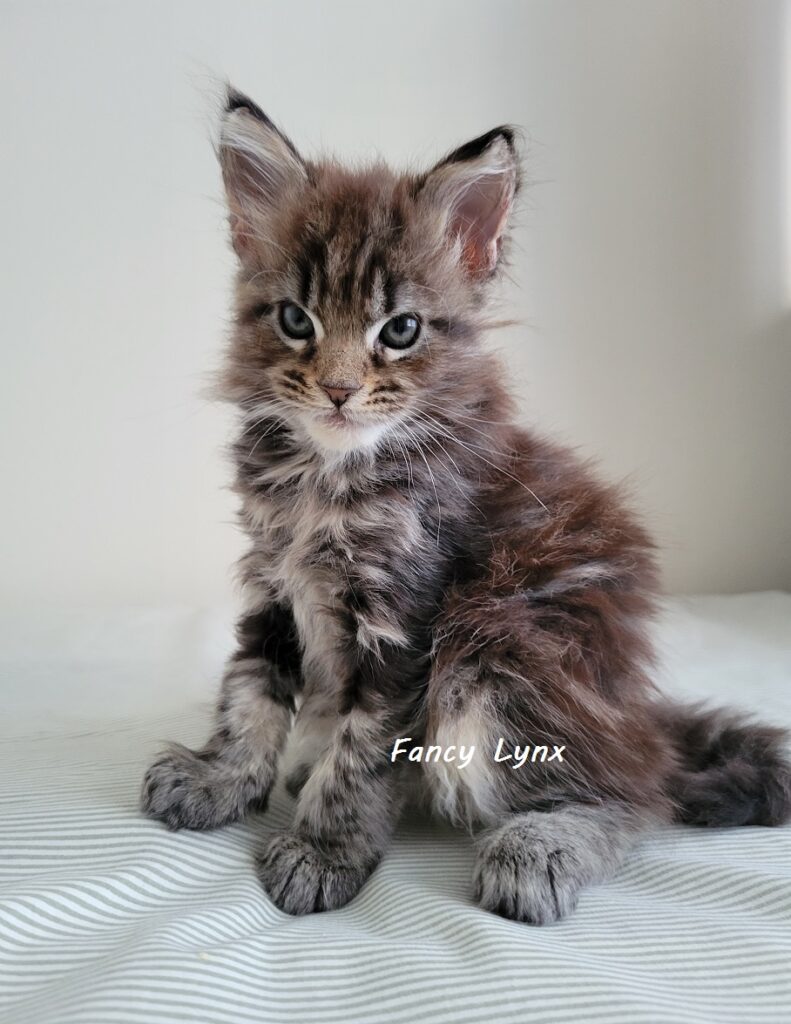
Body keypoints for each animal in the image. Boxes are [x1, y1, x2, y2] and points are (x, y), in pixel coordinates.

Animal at [141, 87, 791, 923]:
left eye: (400, 330)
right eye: (294, 320)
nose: (338, 389)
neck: (329, 478)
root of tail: (637, 714)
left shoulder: (408, 621)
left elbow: (362, 750)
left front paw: (324, 849)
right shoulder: (272, 581)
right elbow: (248, 691)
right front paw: (220, 778)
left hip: (498, 644)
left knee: (640, 793)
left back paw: (539, 848)